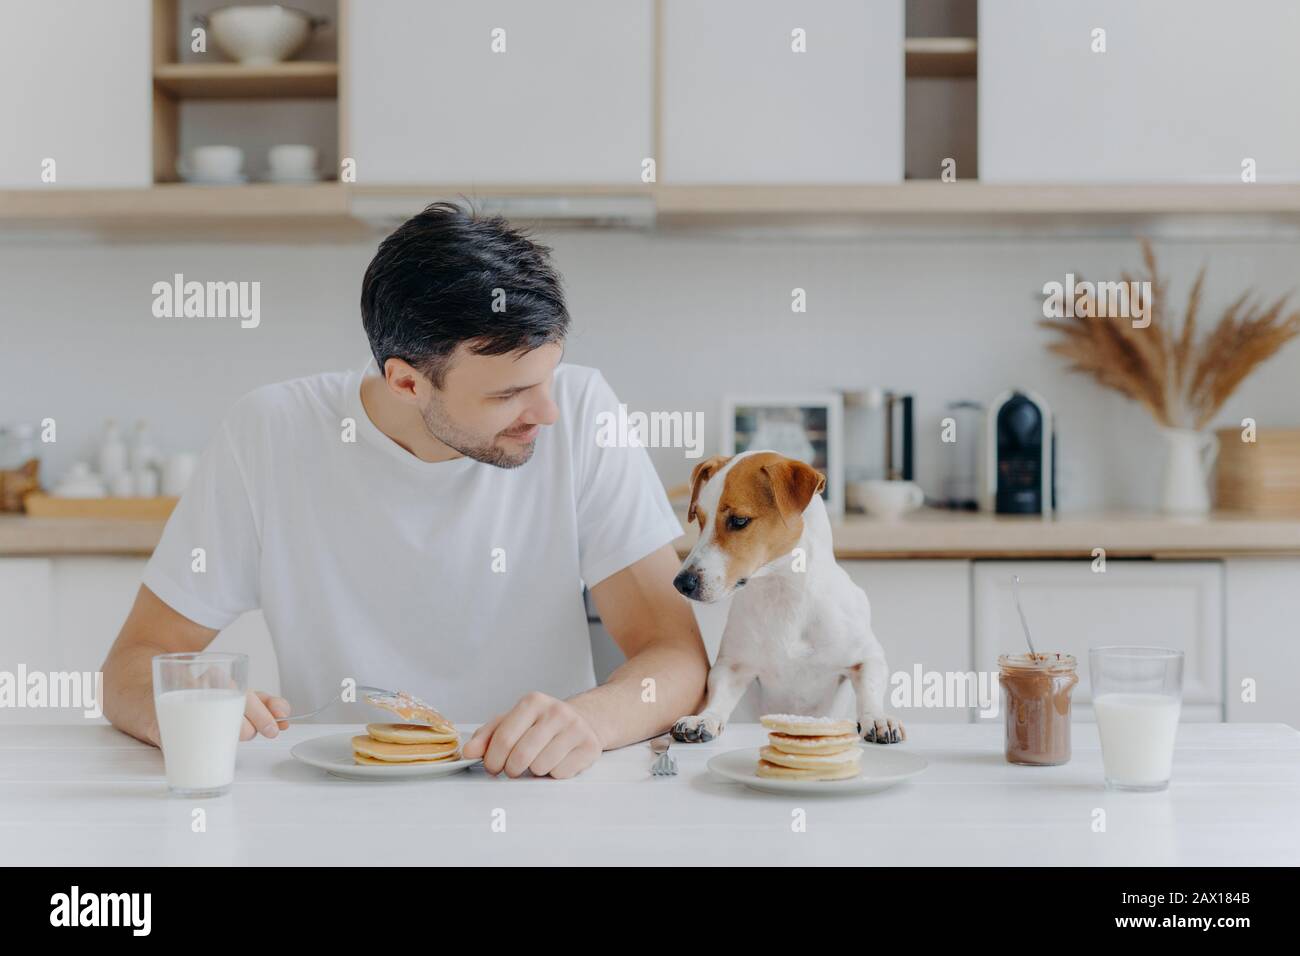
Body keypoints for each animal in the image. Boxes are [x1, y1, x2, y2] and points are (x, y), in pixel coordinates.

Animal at [670, 455, 904, 749]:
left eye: (739, 520)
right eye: (699, 520)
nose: (681, 583)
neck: (783, 593)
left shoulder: (867, 658)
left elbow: (870, 689)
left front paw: (877, 717)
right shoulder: (733, 667)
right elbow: (718, 697)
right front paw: (704, 718)